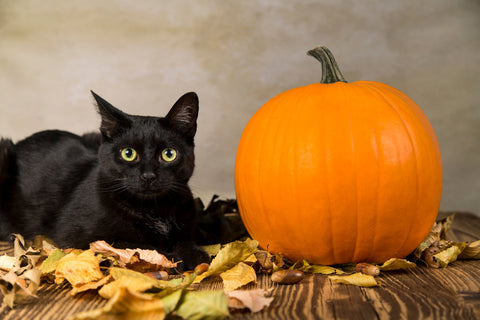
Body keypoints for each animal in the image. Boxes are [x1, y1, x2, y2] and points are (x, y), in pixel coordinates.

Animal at [0, 90, 210, 270]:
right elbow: (134, 245)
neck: (155, 209)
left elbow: (184, 239)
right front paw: (172, 259)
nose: (148, 176)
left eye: (169, 154)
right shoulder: (77, 238)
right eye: (128, 153)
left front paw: (195, 254)